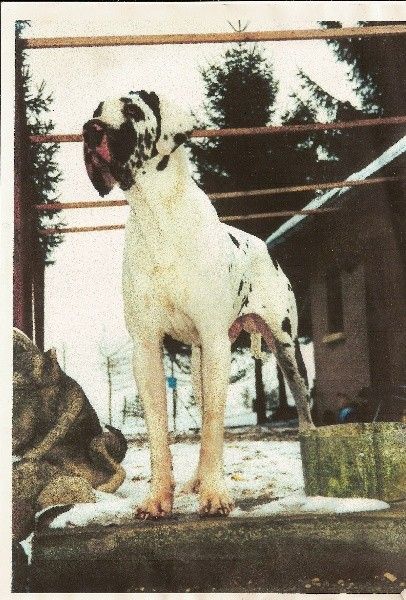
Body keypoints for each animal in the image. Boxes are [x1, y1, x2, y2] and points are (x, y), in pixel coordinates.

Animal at [83, 91, 315, 518]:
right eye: (95, 112)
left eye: (132, 111)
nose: (90, 131)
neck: (158, 216)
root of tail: (264, 246)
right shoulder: (146, 347)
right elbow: (159, 432)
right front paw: (158, 498)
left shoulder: (216, 340)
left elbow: (213, 422)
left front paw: (215, 495)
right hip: (200, 360)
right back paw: (195, 480)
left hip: (286, 349)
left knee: (303, 409)